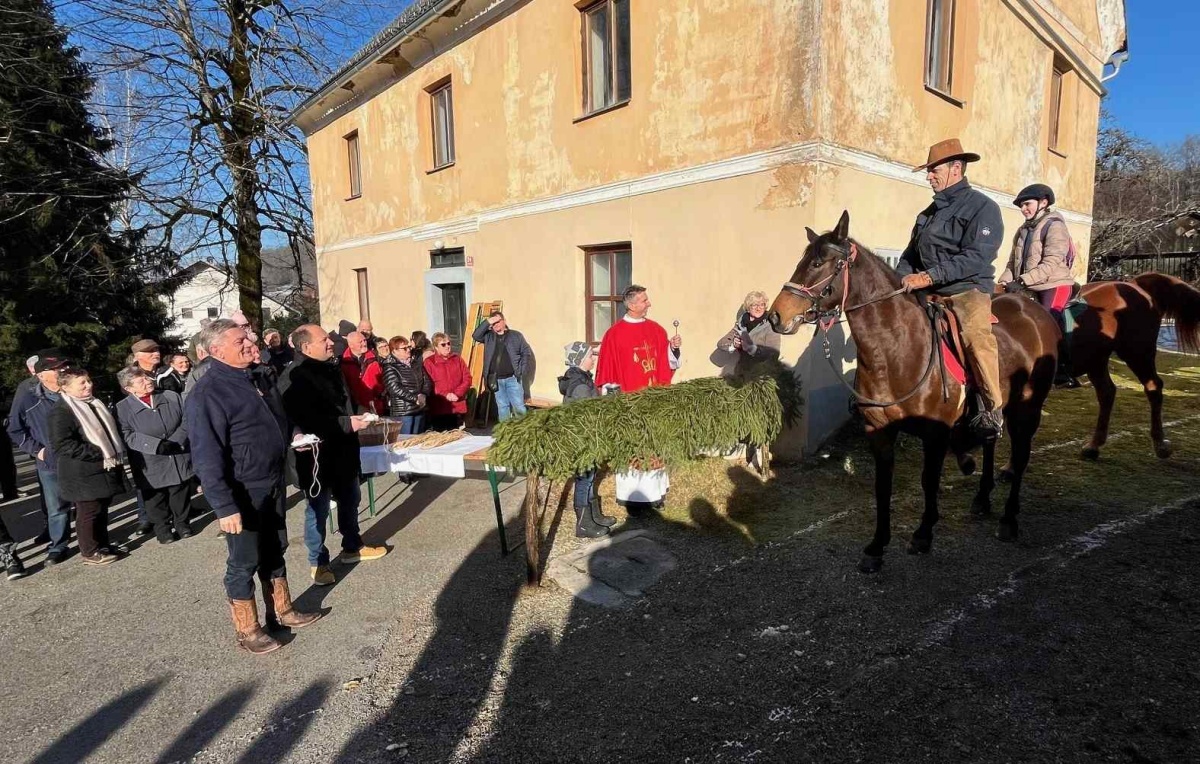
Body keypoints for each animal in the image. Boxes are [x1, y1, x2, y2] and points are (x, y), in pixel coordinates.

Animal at [768, 211, 1060, 568]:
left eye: (819, 263)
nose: (776, 315)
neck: (898, 351)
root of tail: (1034, 310)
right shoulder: (879, 430)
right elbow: (883, 486)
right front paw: (877, 546)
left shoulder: (936, 434)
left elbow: (928, 480)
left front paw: (923, 534)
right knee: (991, 440)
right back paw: (982, 498)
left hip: (1027, 408)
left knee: (1020, 455)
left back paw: (1009, 519)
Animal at [1070, 272, 1200, 458]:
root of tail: (1134, 285)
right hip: (1096, 360)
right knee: (1107, 392)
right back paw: (1094, 445)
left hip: (1136, 353)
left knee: (1153, 387)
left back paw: (1160, 444)